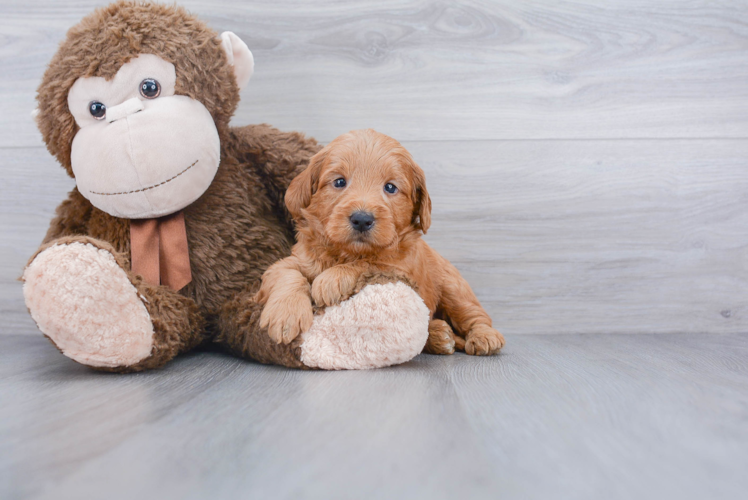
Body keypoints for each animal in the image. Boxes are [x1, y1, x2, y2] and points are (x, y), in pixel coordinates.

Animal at [254, 129, 506, 356]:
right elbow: (286, 273)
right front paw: (285, 315)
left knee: (476, 316)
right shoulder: (296, 260)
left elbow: (369, 264)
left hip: (454, 289)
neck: (346, 253)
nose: (362, 219)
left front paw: (331, 279)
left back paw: (484, 337)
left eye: (390, 187)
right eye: (339, 182)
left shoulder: (402, 269)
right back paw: (439, 335)